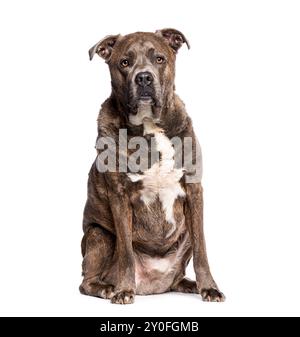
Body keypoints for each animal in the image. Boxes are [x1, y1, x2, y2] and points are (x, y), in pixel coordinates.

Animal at [79, 28, 225, 304]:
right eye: (124, 62)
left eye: (159, 59)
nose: (144, 77)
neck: (150, 127)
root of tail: (153, 287)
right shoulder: (119, 196)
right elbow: (126, 252)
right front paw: (123, 290)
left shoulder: (194, 189)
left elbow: (202, 249)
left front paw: (209, 288)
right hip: (99, 235)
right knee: (86, 282)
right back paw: (107, 288)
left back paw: (189, 284)